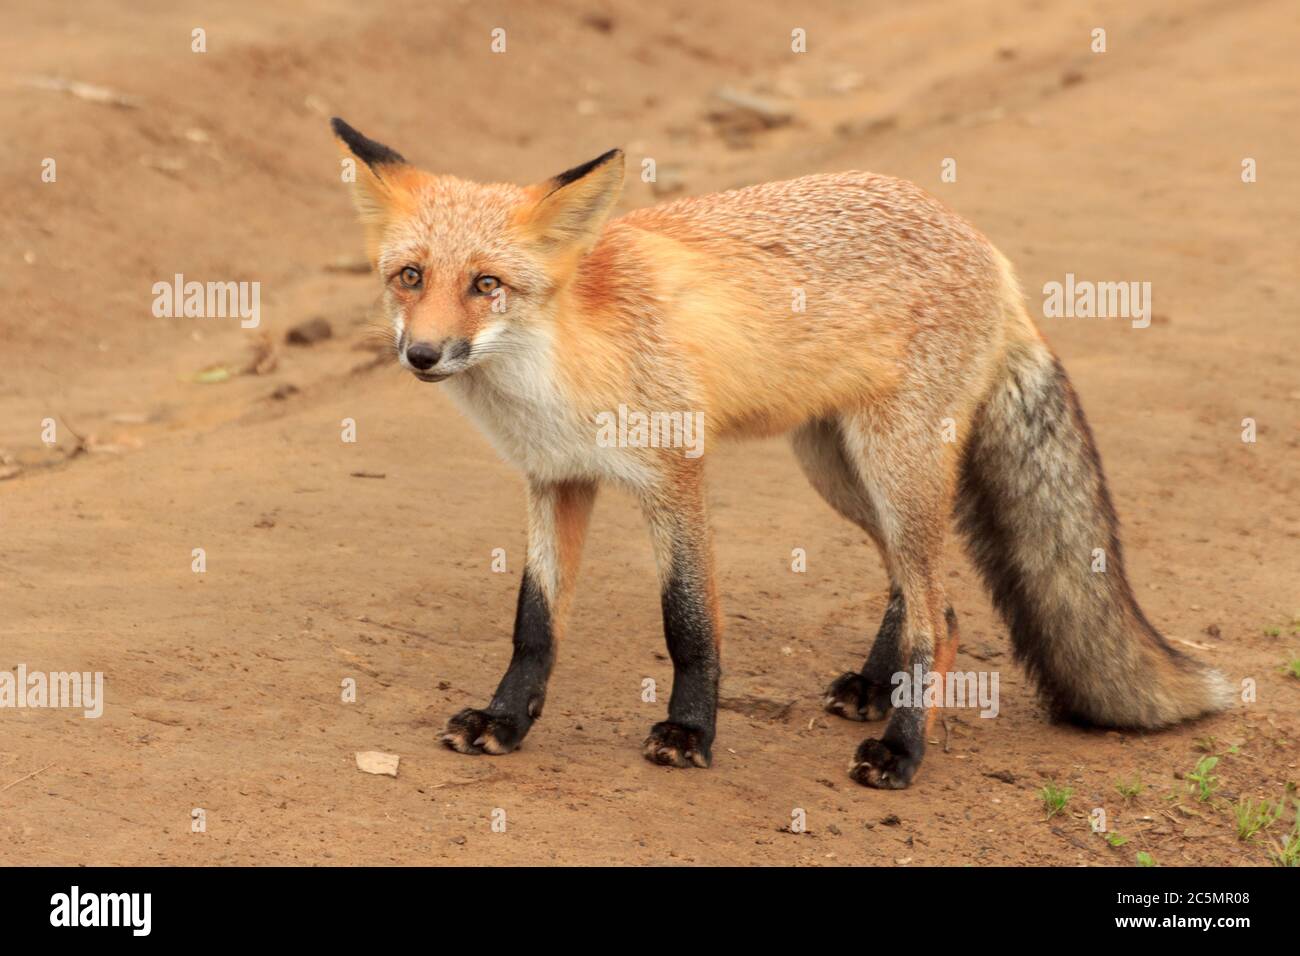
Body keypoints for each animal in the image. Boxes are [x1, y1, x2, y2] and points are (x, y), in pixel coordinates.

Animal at [330, 119, 1232, 790]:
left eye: (486, 285)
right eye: (410, 277)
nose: (423, 354)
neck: (557, 365)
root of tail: (988, 250)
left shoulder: (676, 472)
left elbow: (689, 622)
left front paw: (690, 733)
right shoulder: (556, 479)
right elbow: (535, 622)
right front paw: (506, 721)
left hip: (894, 467)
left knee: (937, 614)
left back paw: (902, 748)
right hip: (838, 470)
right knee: (916, 593)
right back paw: (875, 689)